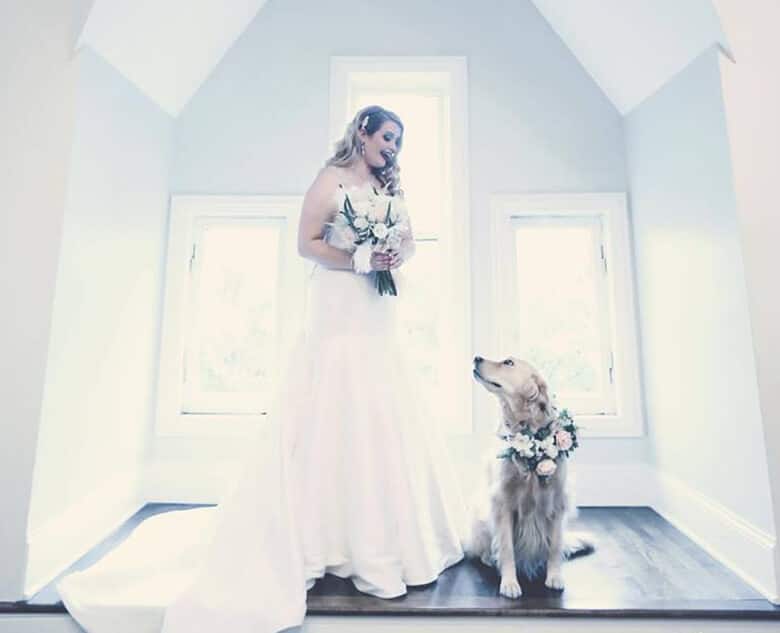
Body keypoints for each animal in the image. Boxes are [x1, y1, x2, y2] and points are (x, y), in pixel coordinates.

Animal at [466, 356, 596, 596]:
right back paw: (489, 557)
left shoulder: (557, 502)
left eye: (508, 362)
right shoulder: (503, 504)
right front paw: (509, 582)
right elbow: (506, 547)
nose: (476, 357)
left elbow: (555, 547)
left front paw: (554, 576)